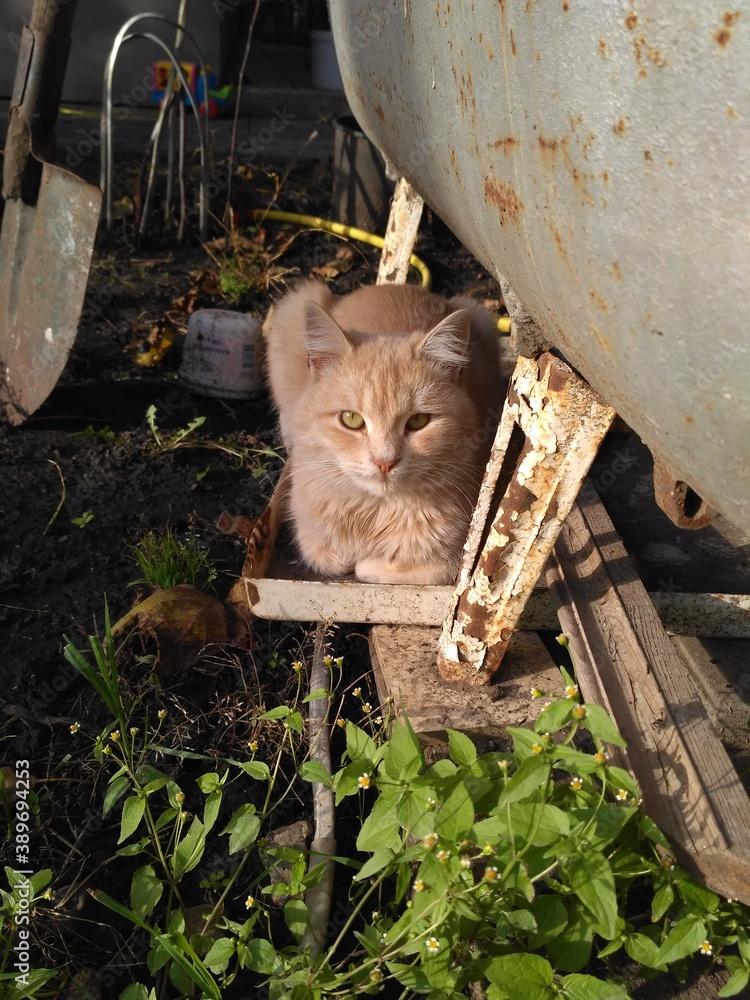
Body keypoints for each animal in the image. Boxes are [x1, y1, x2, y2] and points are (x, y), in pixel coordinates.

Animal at [266, 280, 506, 584]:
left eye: (418, 421)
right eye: (351, 419)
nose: (384, 462)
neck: (373, 513)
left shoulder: (452, 563)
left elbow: (383, 568)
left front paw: (368, 564)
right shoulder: (311, 540)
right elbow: (330, 559)